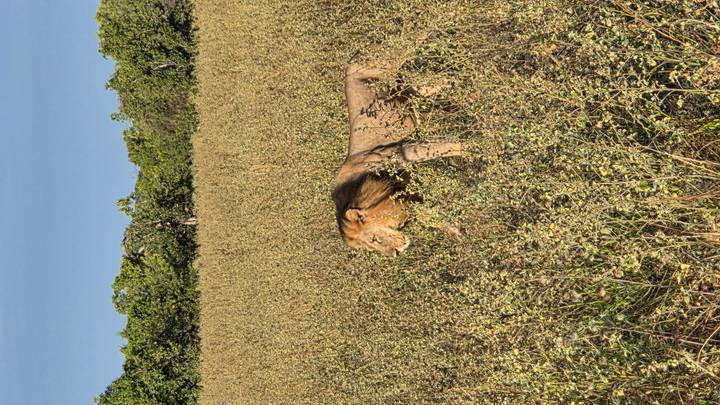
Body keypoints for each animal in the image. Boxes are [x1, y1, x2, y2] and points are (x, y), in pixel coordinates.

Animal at [332, 62, 469, 256]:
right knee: (426, 86)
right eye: (371, 249)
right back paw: (452, 82)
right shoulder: (408, 194)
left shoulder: (406, 149)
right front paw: (458, 233)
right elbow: (429, 217)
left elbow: (451, 146)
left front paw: (478, 150)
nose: (395, 254)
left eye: (374, 239)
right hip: (407, 87)